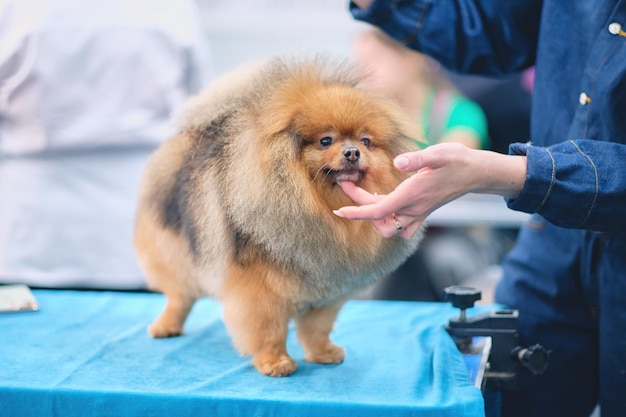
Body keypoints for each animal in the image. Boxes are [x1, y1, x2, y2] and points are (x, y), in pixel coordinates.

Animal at [133, 55, 422, 376]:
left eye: (366, 141)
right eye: (325, 141)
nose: (352, 152)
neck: (323, 207)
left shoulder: (326, 289)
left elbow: (317, 328)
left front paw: (323, 352)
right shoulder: (260, 291)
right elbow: (269, 329)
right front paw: (275, 362)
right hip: (175, 250)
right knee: (179, 295)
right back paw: (166, 325)